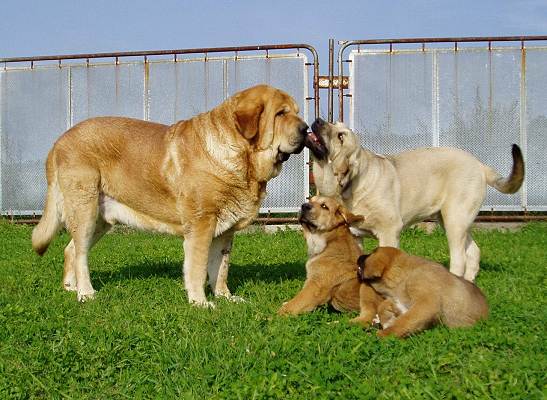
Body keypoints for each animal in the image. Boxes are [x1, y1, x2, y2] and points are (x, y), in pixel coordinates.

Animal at [31, 83, 330, 304]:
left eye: (296, 112)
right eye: (280, 114)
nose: (306, 129)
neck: (240, 156)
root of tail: (58, 142)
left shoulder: (225, 231)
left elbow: (220, 268)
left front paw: (226, 298)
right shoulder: (201, 224)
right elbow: (197, 267)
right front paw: (201, 303)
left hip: (101, 219)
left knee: (70, 249)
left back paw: (70, 287)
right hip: (85, 208)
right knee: (80, 252)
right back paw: (86, 293)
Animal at [276, 195, 384, 324]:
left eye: (324, 206)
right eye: (310, 200)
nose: (304, 206)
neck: (329, 240)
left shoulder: (315, 286)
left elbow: (294, 304)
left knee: (365, 318)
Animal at [310, 118, 524, 282]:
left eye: (340, 136)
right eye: (333, 123)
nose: (319, 120)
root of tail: (479, 164)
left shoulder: (389, 233)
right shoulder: (355, 236)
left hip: (454, 221)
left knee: (459, 259)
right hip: (453, 222)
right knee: (473, 252)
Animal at [358, 247, 490, 338]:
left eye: (369, 254)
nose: (359, 257)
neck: (405, 275)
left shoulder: (425, 303)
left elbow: (405, 320)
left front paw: (385, 333)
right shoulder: (402, 302)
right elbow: (383, 306)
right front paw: (388, 319)